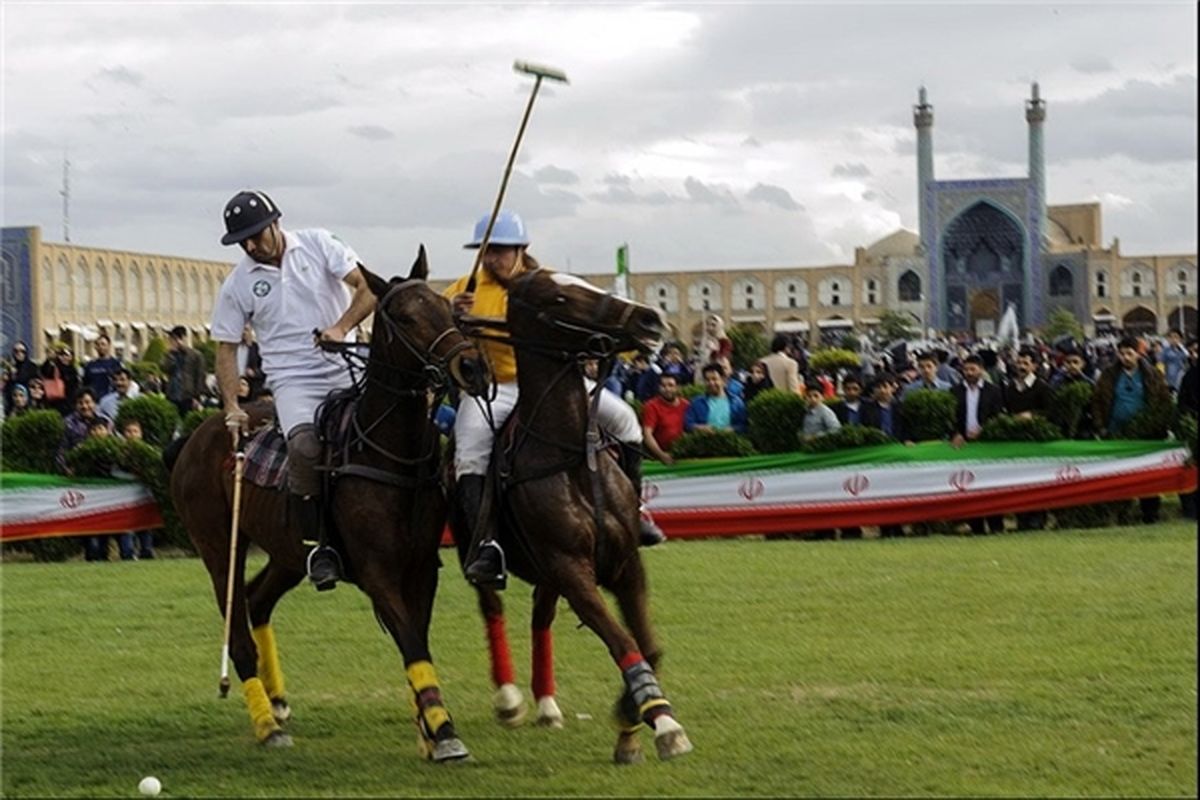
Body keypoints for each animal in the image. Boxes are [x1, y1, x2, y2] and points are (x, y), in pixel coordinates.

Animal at [169, 250, 487, 762]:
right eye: (404, 317)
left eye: (445, 306)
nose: (472, 368)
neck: (389, 453)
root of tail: (198, 434)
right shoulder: (378, 571)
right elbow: (411, 641)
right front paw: (443, 732)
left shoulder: (422, 567)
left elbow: (417, 641)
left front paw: (427, 726)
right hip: (218, 547)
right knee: (236, 628)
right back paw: (265, 724)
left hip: (288, 553)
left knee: (257, 601)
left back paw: (277, 703)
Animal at [451, 268, 696, 762]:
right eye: (560, 298)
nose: (649, 319)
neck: (569, 454)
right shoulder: (571, 568)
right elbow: (624, 641)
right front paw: (661, 722)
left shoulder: (624, 565)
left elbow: (648, 645)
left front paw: (629, 724)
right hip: (477, 549)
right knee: (491, 603)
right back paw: (509, 699)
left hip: (548, 574)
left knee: (540, 616)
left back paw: (547, 704)